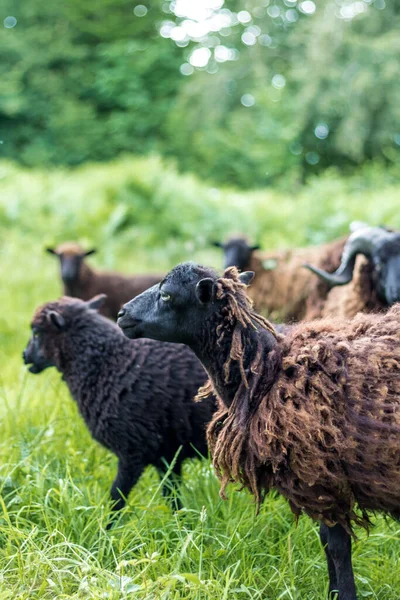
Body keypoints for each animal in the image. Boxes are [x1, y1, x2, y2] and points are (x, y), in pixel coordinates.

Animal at [22, 294, 216, 516]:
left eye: (37, 332)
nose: (24, 356)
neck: (109, 363)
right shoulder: (167, 455)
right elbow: (172, 497)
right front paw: (181, 523)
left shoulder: (133, 450)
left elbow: (116, 499)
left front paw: (105, 525)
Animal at [118, 262, 400, 600]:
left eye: (167, 295)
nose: (121, 314)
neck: (268, 371)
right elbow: (326, 542)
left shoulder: (323, 477)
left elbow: (336, 547)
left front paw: (344, 593)